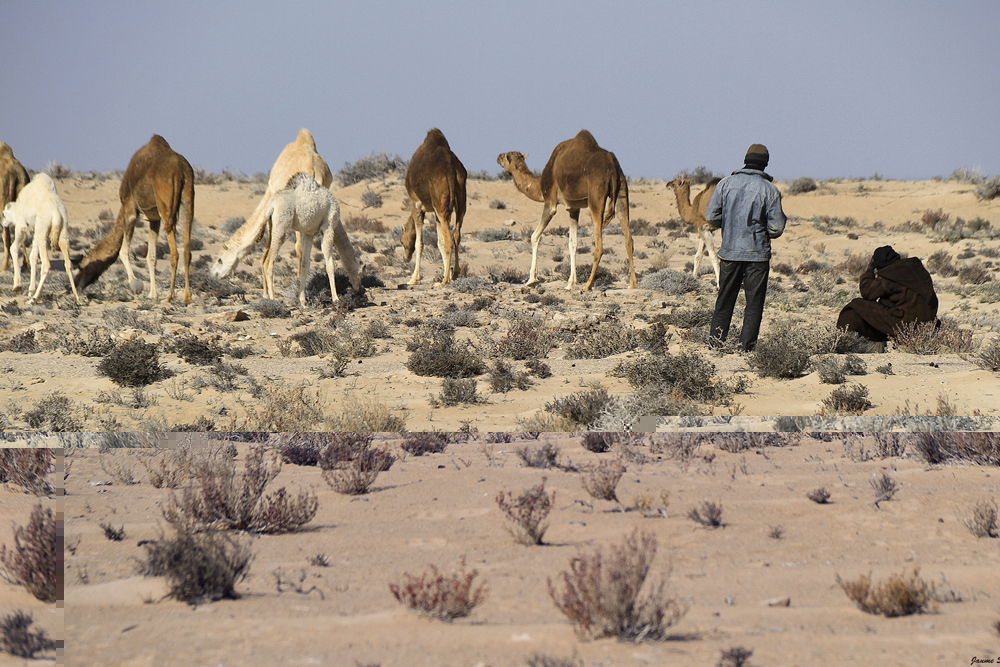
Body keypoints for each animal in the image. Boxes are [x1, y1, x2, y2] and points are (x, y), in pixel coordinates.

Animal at [0, 174, 82, 306]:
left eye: (4, 213)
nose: (3, 223)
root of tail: (57, 214)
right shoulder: (35, 230)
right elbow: (33, 256)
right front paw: (30, 290)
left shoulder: (22, 225)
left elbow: (14, 248)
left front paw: (17, 286)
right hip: (62, 231)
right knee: (68, 263)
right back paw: (77, 298)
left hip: (43, 229)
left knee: (46, 264)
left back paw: (33, 299)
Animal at [74, 136, 193, 302]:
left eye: (82, 267)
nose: (75, 285)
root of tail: (180, 169)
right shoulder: (153, 219)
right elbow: (151, 257)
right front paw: (152, 294)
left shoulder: (129, 209)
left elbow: (123, 251)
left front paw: (135, 284)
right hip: (188, 198)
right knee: (187, 248)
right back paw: (187, 296)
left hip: (166, 209)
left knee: (175, 252)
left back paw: (169, 296)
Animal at [211, 174, 364, 306]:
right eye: (360, 274)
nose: (359, 289)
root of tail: (271, 205)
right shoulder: (328, 226)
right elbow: (329, 263)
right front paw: (336, 299)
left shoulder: (307, 233)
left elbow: (305, 265)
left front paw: (303, 301)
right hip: (282, 228)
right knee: (269, 261)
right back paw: (273, 299)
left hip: (273, 227)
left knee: (266, 258)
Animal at [400, 129, 466, 286]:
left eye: (401, 241)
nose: (405, 258)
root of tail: (451, 170)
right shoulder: (436, 212)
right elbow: (438, 242)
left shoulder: (417, 205)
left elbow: (419, 243)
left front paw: (413, 279)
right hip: (460, 202)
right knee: (456, 235)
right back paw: (454, 274)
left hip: (441, 206)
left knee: (449, 241)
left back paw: (443, 281)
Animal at [498, 132, 636, 290]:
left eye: (505, 156)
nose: (498, 156)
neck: (539, 184)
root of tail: (612, 165)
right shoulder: (573, 208)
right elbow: (572, 243)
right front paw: (570, 283)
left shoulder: (550, 202)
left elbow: (534, 236)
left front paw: (531, 279)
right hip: (622, 191)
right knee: (628, 239)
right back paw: (632, 284)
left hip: (596, 197)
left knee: (599, 246)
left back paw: (587, 285)